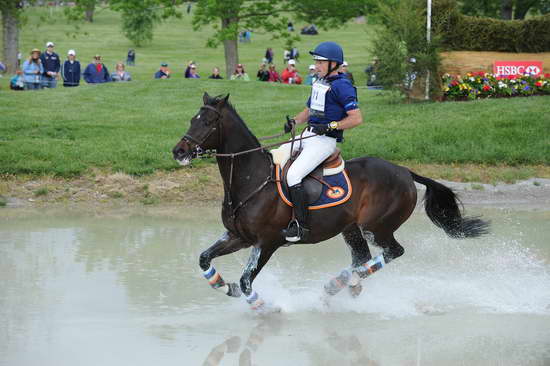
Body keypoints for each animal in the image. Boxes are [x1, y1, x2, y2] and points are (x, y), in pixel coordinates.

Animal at [174, 92, 492, 312]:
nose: (179, 151)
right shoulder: (238, 236)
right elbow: (205, 259)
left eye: (209, 122)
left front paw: (266, 308)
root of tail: (404, 171)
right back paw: (338, 285)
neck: (252, 180)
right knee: (361, 257)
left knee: (392, 252)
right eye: (191, 119)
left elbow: (246, 280)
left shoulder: (267, 242)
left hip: (377, 227)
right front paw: (224, 287)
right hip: (351, 229)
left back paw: (349, 282)